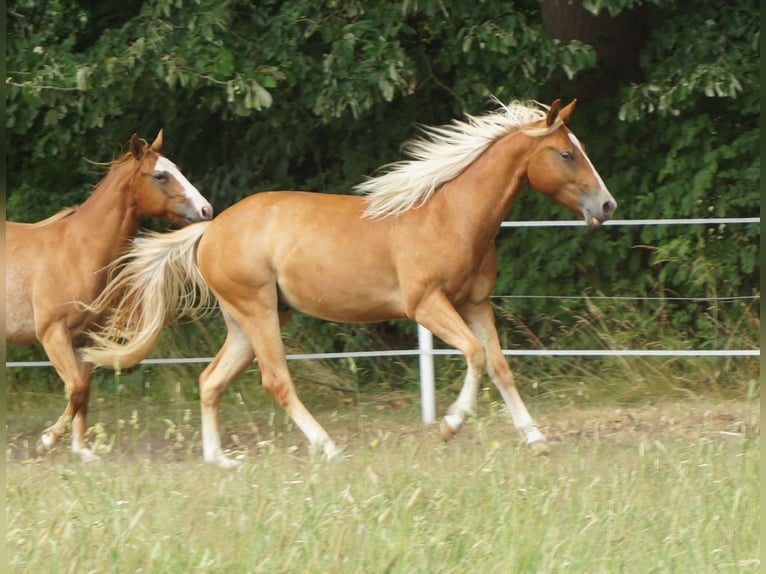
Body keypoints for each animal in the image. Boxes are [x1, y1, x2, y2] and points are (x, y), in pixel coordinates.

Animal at [6, 130, 213, 462]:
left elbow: (83, 392)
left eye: (178, 168)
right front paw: (47, 440)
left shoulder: (86, 338)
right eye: (160, 175)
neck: (76, 251)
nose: (206, 210)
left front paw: (82, 450)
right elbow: (77, 389)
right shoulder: (53, 334)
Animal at [82, 99, 616, 468]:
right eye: (566, 153)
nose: (607, 206)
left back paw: (220, 460)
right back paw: (328, 446)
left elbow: (501, 366)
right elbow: (475, 355)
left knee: (211, 380)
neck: (451, 216)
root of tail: (209, 229)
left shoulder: (476, 305)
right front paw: (449, 425)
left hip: (247, 321)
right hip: (257, 312)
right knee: (276, 380)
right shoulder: (428, 306)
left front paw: (534, 437)